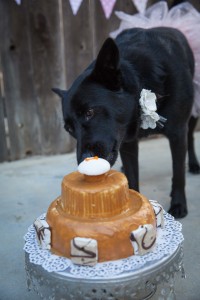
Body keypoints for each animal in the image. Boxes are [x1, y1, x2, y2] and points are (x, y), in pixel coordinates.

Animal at [52, 26, 198, 218]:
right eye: (69, 128)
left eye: (90, 112)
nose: (84, 160)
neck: (142, 79)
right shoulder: (127, 143)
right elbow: (132, 176)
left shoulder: (177, 132)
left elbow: (178, 171)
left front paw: (179, 204)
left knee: (191, 137)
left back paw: (194, 164)